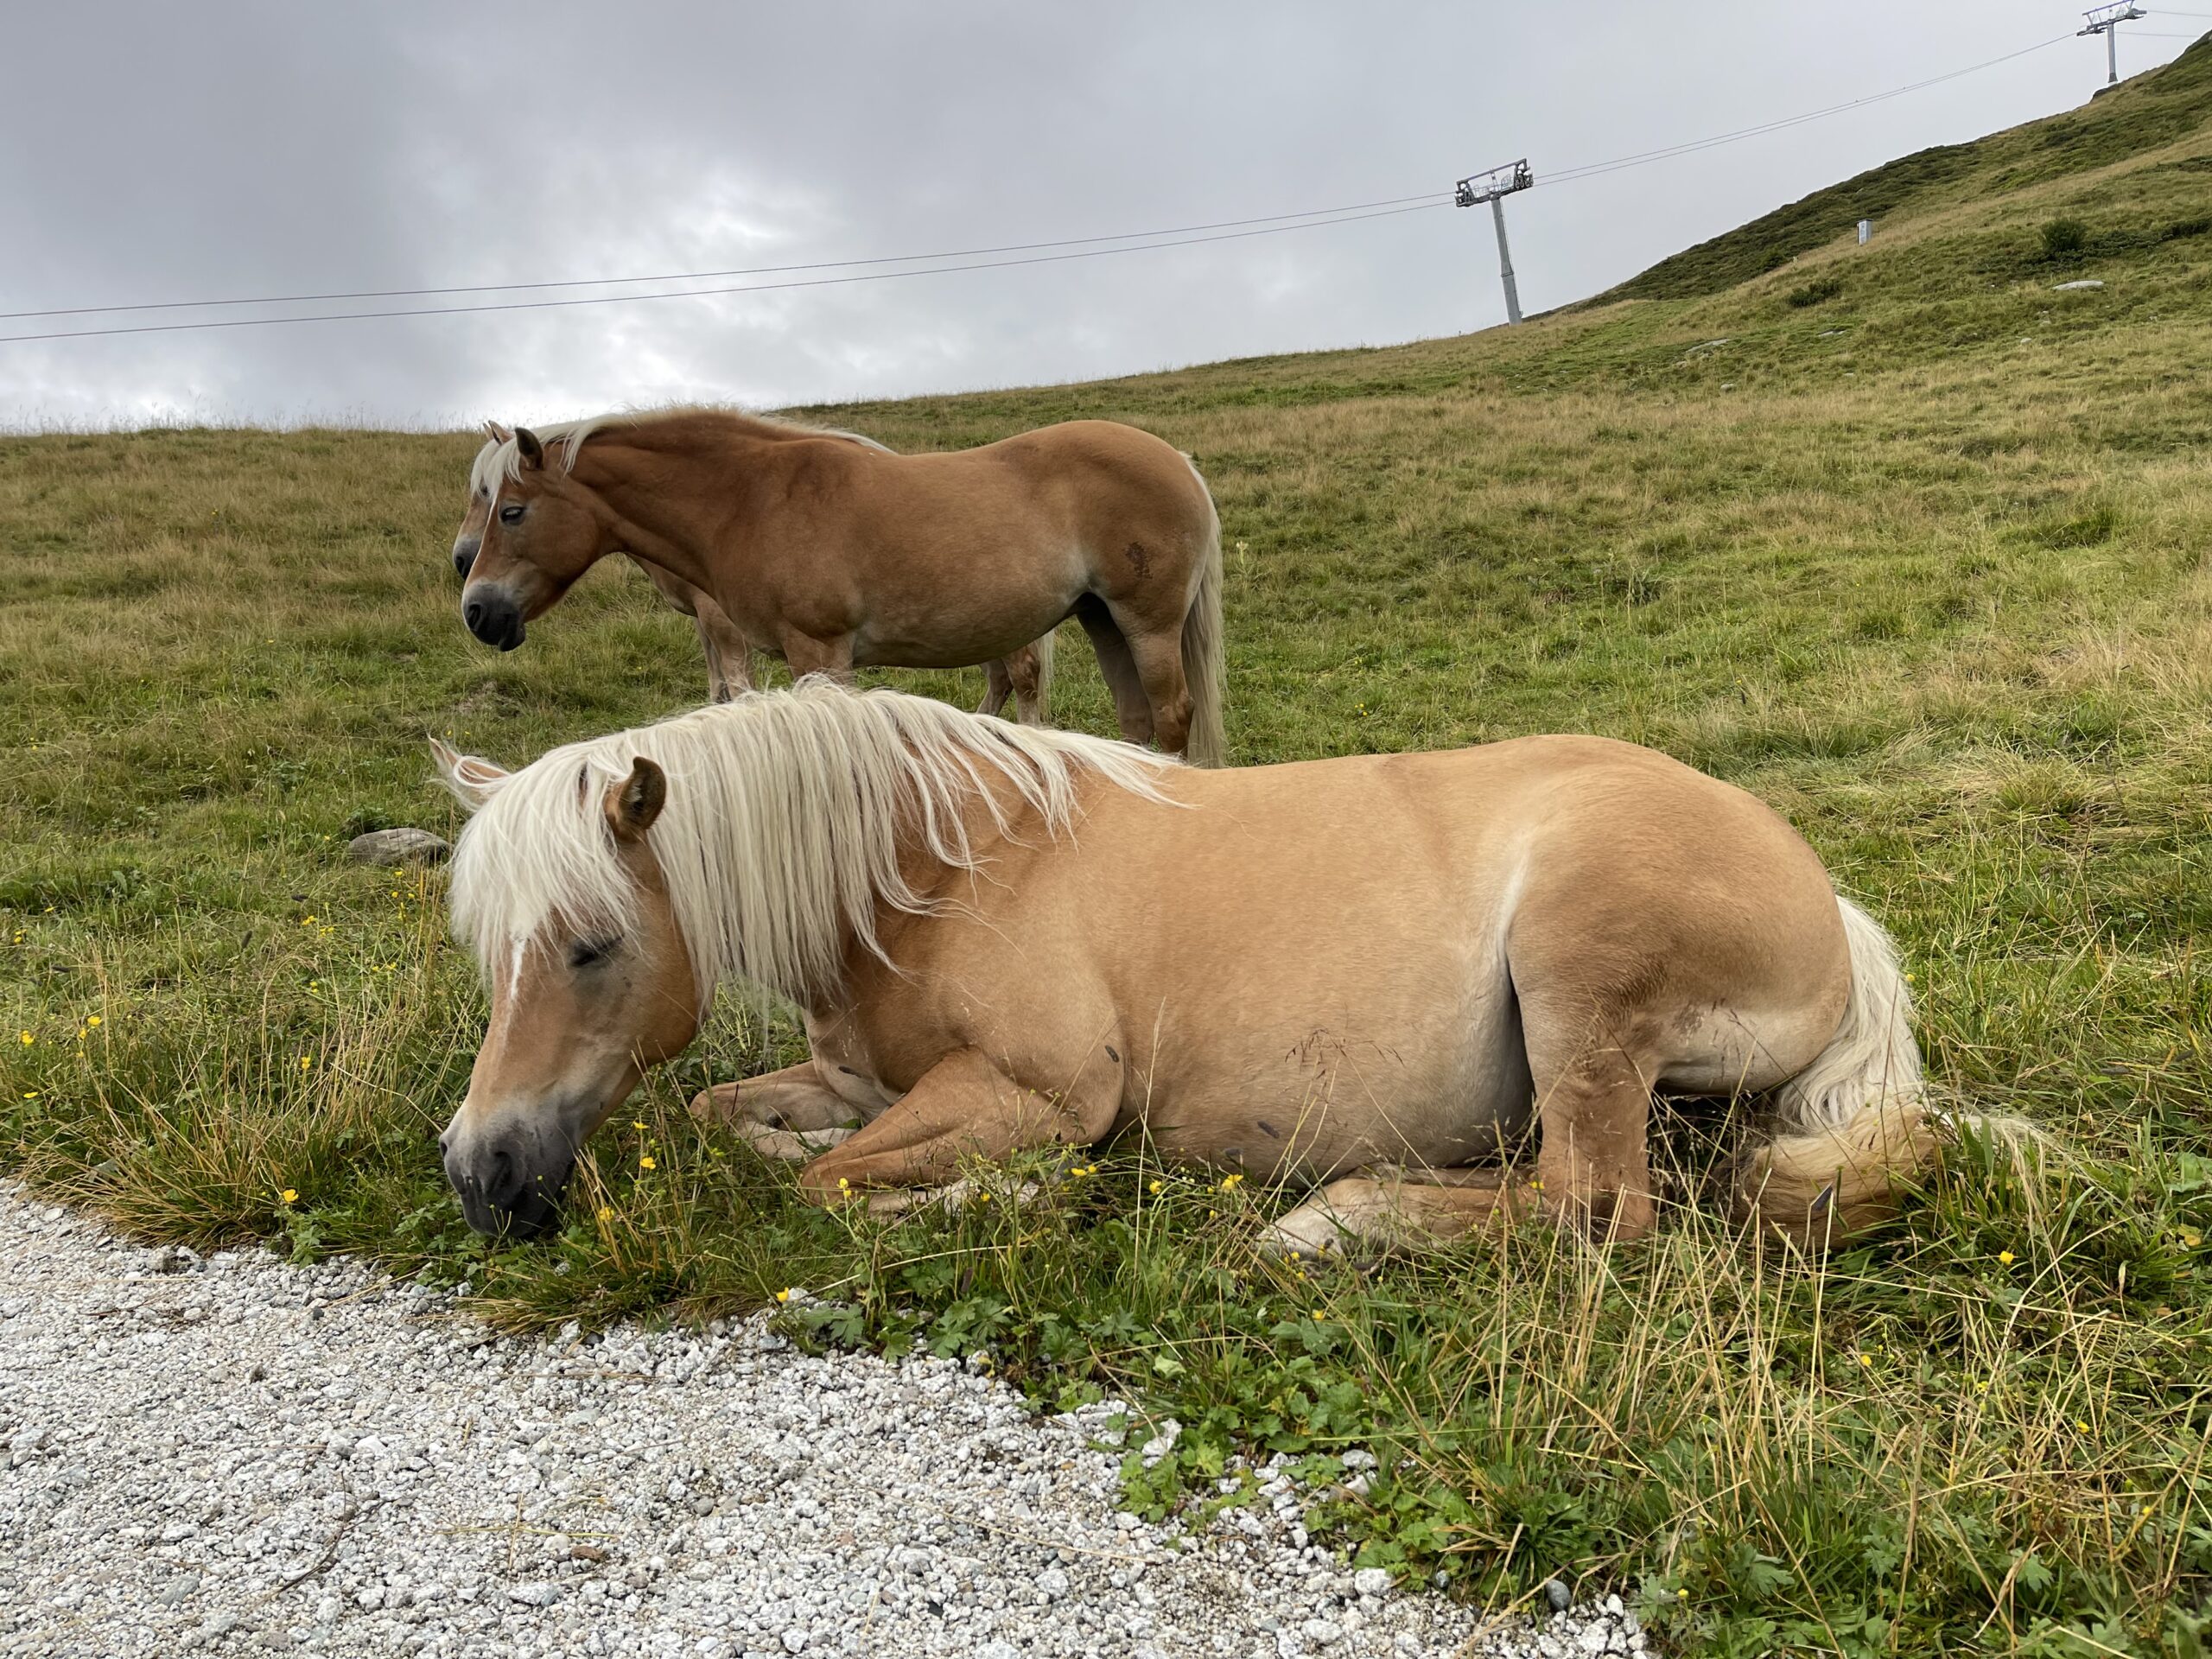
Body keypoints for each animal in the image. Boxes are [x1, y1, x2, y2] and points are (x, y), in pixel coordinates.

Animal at [435, 681, 1937, 1256]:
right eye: (487, 954)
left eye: (591, 945)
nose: (480, 1175)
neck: (940, 867)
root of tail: (1824, 898)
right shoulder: (860, 1080)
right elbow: (726, 1116)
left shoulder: (1040, 1093)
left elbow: (830, 1186)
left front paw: (1001, 1200)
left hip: (1579, 984)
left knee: (1592, 1205)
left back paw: (1331, 1225)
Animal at [447, 413, 1230, 765]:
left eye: (510, 511)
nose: (477, 608)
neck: (750, 499)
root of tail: (1177, 460)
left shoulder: (818, 651)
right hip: (1102, 620)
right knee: (1135, 722)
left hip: (1147, 624)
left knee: (1170, 715)